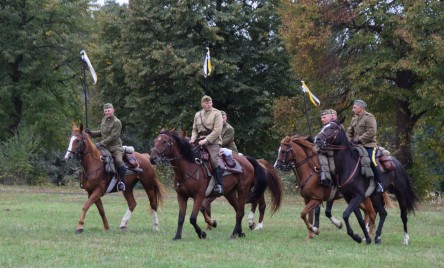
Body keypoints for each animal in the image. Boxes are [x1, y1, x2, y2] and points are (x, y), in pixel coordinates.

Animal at [149, 130, 280, 239]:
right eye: (155, 141)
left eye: (164, 141)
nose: (152, 158)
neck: (189, 167)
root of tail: (247, 160)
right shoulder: (181, 196)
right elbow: (181, 218)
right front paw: (177, 236)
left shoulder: (199, 196)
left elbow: (192, 218)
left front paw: (202, 233)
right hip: (230, 193)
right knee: (239, 210)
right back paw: (239, 232)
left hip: (243, 190)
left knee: (240, 212)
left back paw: (234, 234)